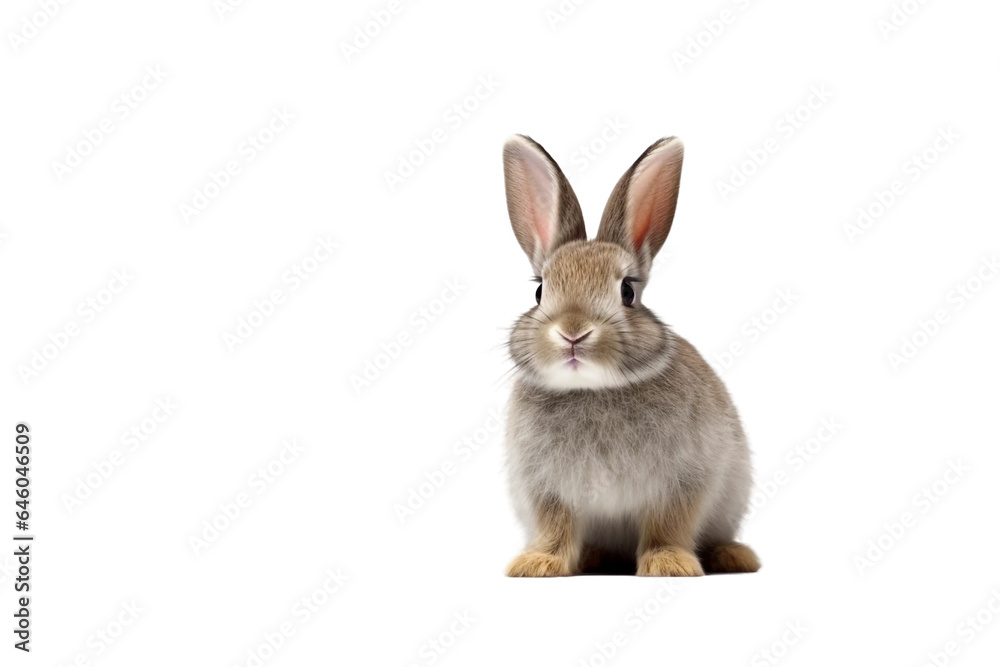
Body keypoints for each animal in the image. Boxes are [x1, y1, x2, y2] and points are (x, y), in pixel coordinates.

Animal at [500, 135, 760, 577]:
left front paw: (670, 564)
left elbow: (666, 526)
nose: (573, 332)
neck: (592, 390)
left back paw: (735, 556)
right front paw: (537, 564)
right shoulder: (547, 490)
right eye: (539, 291)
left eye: (627, 291)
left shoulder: (681, 482)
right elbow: (555, 527)